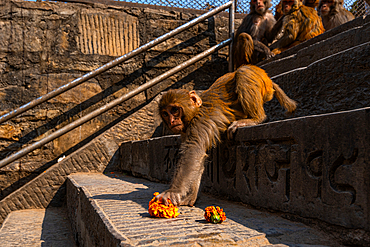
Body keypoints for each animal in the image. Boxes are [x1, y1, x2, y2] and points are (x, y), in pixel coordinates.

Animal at [156, 64, 298, 206]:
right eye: (165, 114)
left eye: (174, 110)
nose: (172, 121)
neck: (195, 111)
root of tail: (268, 78)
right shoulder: (186, 130)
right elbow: (199, 157)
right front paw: (190, 196)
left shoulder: (199, 122)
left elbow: (193, 151)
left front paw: (173, 192)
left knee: (243, 72)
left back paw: (256, 119)